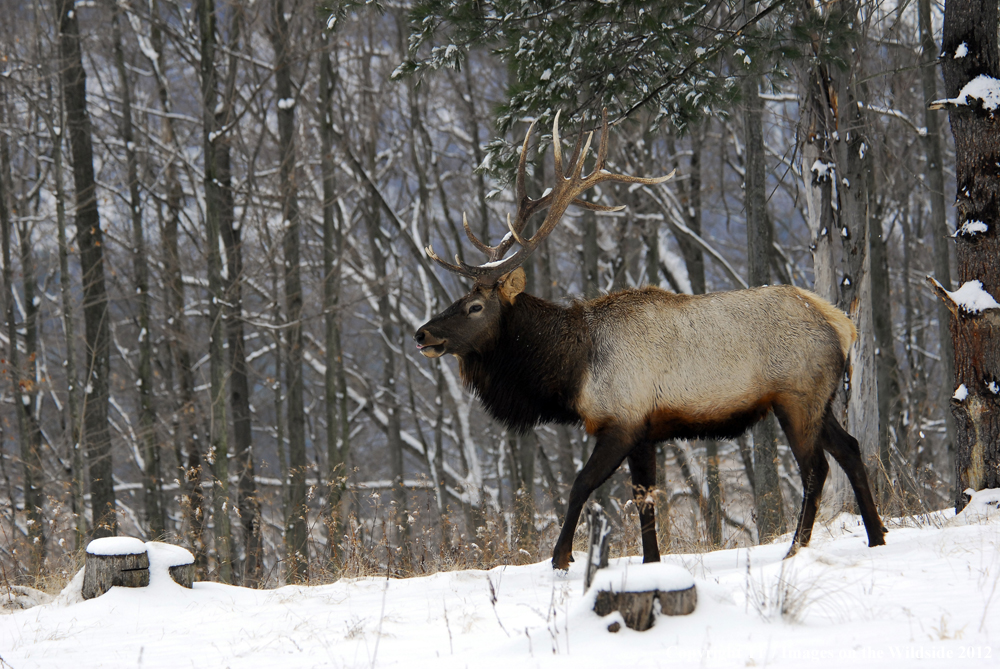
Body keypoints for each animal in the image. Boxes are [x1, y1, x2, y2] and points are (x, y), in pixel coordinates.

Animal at [412, 111, 884, 568]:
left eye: (475, 307)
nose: (422, 333)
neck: (573, 368)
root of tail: (842, 324)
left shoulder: (621, 421)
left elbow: (581, 485)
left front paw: (561, 557)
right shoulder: (645, 432)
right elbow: (644, 502)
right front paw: (651, 563)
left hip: (796, 397)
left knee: (816, 468)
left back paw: (796, 548)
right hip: (821, 399)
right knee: (851, 449)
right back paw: (876, 536)